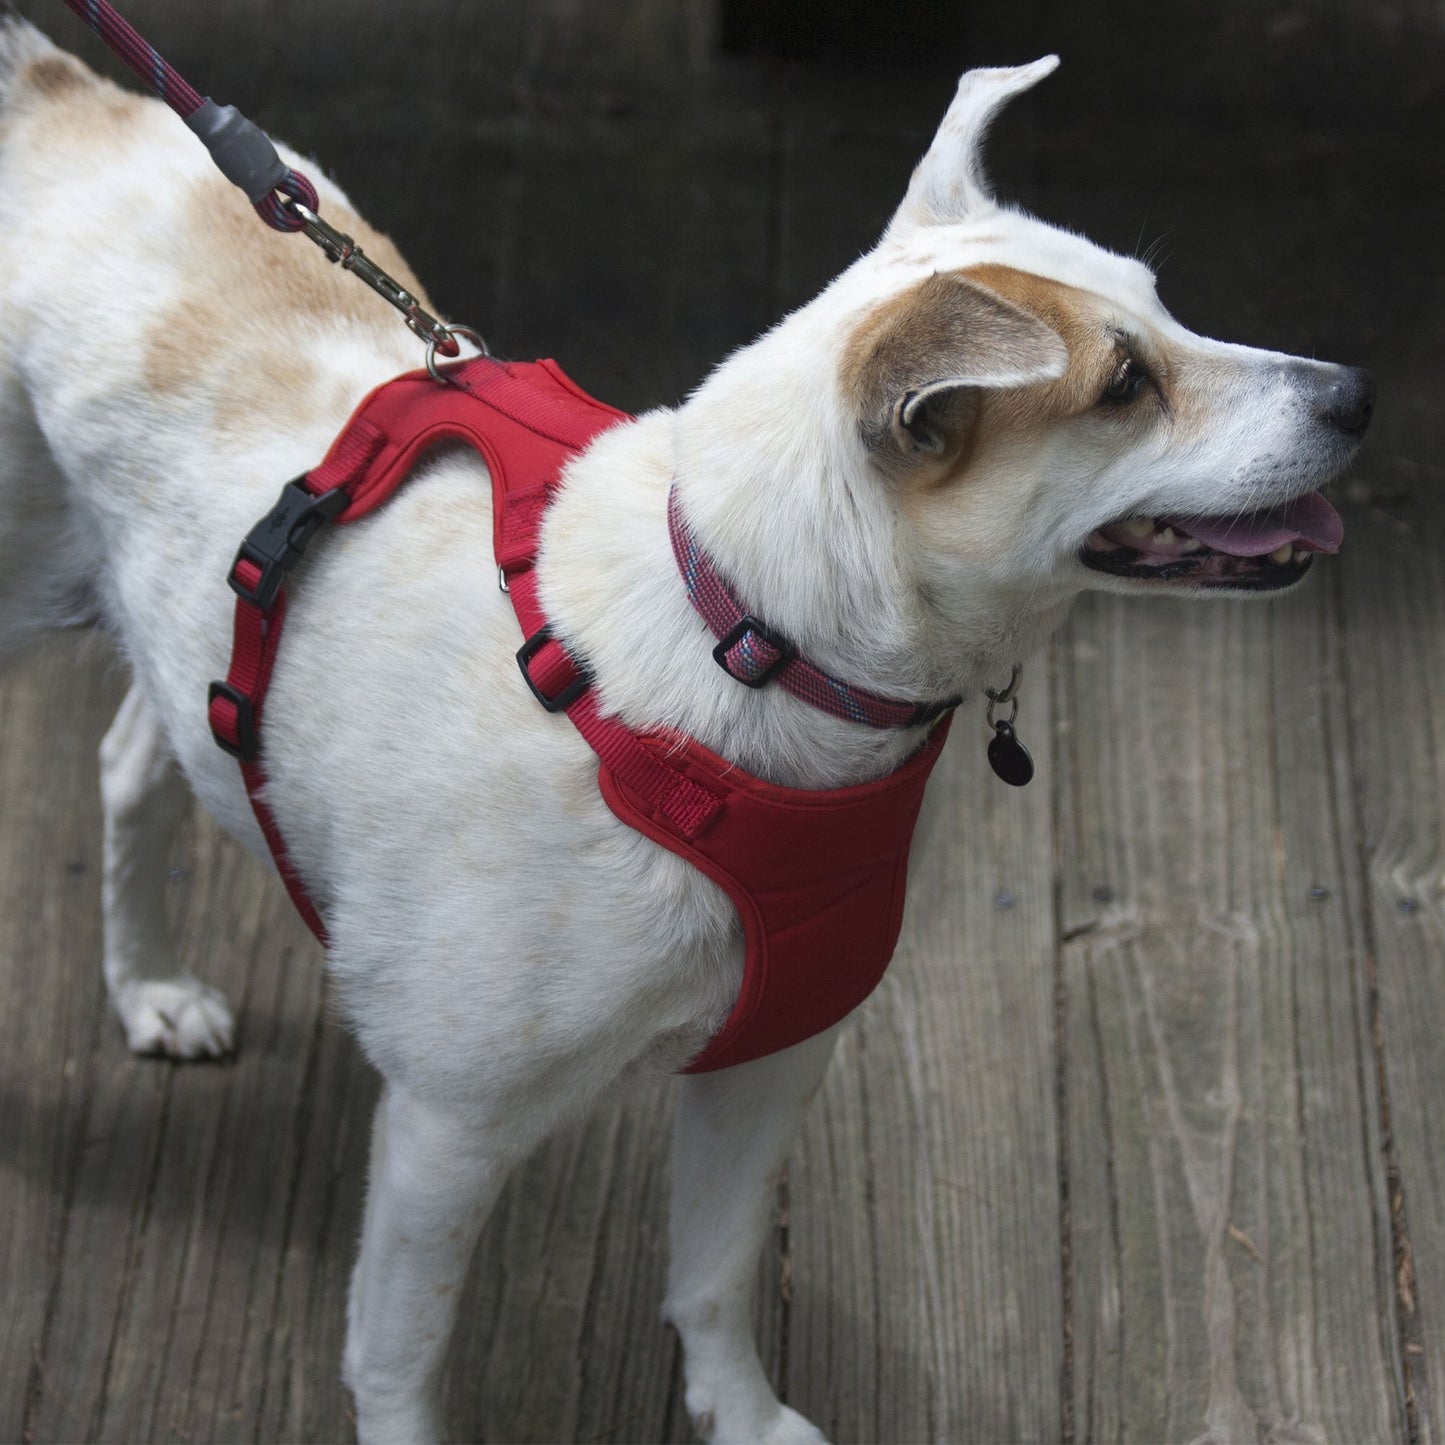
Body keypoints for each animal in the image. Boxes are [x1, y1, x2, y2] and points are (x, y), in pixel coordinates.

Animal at [0, 14, 1369, 1445]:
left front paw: (741, 1413)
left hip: (189, 636)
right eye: (1123, 384)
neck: (742, 642)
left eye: (1163, 304)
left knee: (130, 762)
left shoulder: (768, 1058)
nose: (1354, 392)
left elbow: (712, 1272)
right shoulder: (445, 1128)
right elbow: (400, 1356)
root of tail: (59, 92)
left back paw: (149, 985)